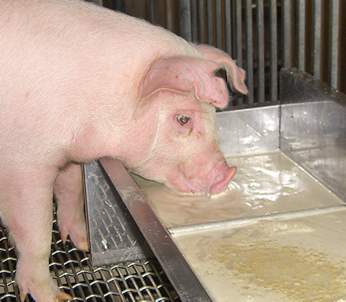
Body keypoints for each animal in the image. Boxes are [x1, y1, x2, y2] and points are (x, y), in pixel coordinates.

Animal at [0, 0, 247, 302]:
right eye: (183, 119)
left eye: (213, 113)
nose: (228, 174)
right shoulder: (22, 166)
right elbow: (37, 230)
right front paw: (56, 296)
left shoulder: (71, 153)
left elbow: (71, 191)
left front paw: (83, 244)